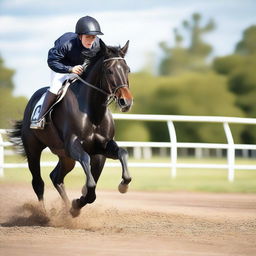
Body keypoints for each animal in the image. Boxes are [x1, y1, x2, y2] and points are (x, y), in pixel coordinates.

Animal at [9, 39, 134, 217]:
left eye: (127, 70)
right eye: (109, 71)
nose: (126, 101)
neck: (93, 111)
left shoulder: (102, 146)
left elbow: (122, 153)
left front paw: (123, 184)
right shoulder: (74, 146)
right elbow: (89, 180)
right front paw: (78, 203)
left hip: (65, 157)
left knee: (56, 177)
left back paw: (66, 209)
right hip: (33, 149)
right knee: (38, 182)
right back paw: (43, 214)